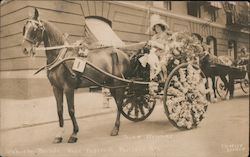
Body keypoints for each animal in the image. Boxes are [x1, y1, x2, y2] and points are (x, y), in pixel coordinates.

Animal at [21, 8, 132, 144]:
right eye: (25, 27)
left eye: (35, 28)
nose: (25, 49)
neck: (60, 56)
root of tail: (124, 55)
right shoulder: (56, 88)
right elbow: (59, 110)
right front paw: (59, 135)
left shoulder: (68, 88)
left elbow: (71, 110)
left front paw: (74, 133)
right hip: (111, 85)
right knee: (118, 103)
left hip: (119, 84)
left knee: (120, 103)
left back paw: (115, 128)